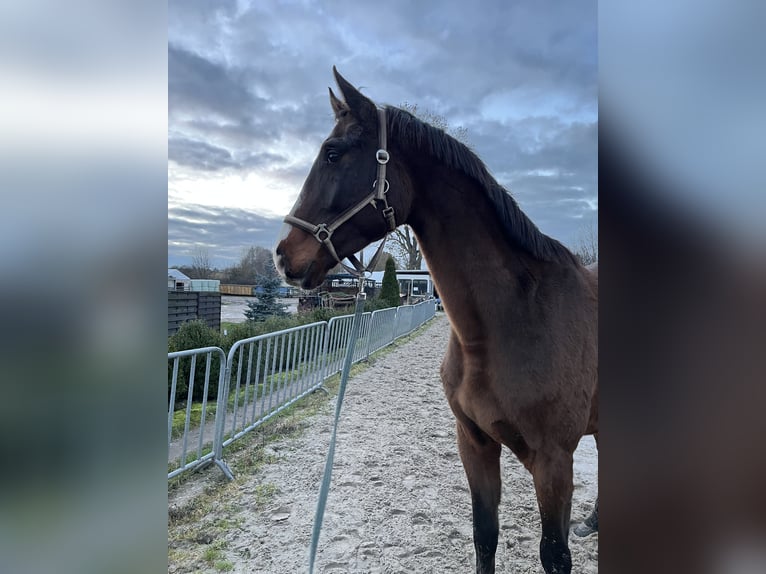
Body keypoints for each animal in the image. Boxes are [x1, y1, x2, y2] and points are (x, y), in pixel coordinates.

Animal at [274, 67, 598, 574]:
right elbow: (484, 537)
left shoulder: (554, 462)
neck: (513, 321)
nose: (284, 256)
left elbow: (554, 555)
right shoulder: (475, 443)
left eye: (333, 152)